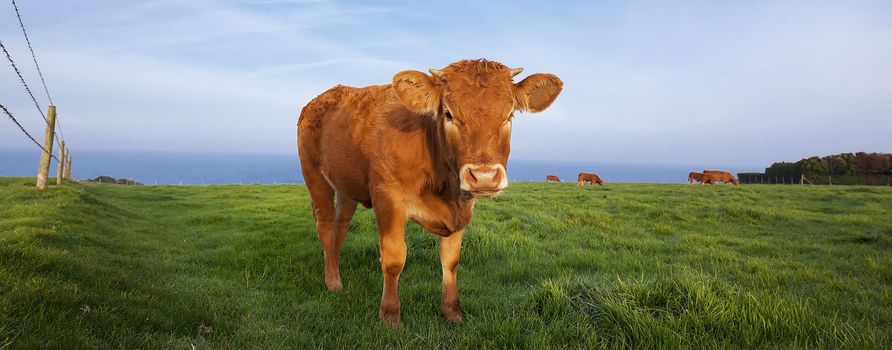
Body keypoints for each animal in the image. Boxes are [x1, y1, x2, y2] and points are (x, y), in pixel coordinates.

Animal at [300, 58, 564, 326]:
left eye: (509, 115)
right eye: (449, 114)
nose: (484, 176)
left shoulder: (459, 212)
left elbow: (451, 260)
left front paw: (452, 311)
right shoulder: (388, 198)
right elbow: (394, 259)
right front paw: (390, 315)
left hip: (346, 185)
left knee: (340, 225)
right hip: (313, 174)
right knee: (325, 225)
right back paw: (332, 281)